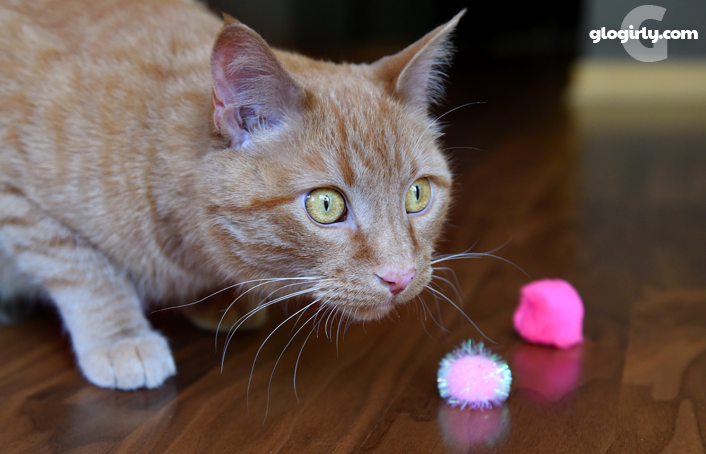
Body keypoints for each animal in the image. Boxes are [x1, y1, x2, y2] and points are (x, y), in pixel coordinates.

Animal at [0, 0, 463, 390]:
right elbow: (84, 270)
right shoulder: (16, 197)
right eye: (325, 205)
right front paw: (120, 337)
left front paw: (221, 300)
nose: (400, 277)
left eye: (417, 195)